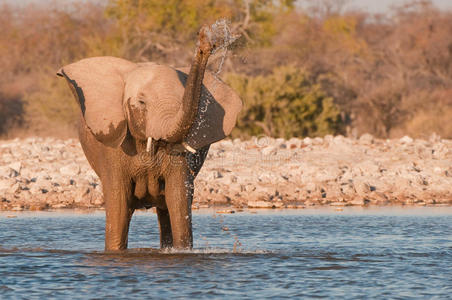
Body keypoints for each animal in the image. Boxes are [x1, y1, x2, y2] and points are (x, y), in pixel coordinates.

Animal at [57, 24, 244, 251]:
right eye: (141, 103)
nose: (205, 40)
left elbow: (178, 199)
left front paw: (180, 252)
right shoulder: (113, 148)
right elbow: (118, 203)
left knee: (166, 210)